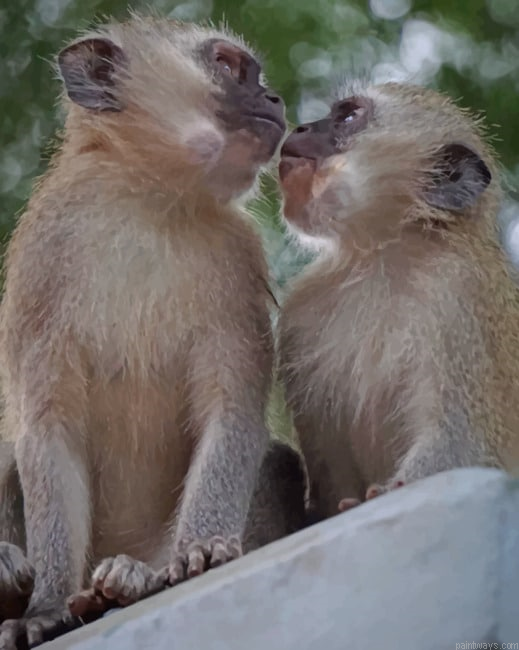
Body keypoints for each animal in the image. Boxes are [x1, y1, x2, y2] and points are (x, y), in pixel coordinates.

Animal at [0, 14, 302, 647]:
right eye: (229, 66)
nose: (274, 98)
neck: (150, 200)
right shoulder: (43, 256)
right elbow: (48, 431)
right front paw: (46, 606)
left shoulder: (238, 259)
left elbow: (231, 413)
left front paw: (200, 553)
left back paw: (134, 580)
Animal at [276, 81, 519, 522]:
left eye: (348, 115)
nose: (300, 127)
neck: (381, 254)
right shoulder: (301, 313)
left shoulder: (459, 292)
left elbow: (462, 446)